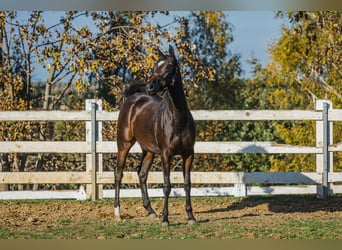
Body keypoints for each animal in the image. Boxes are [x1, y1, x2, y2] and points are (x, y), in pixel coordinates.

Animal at [114, 45, 196, 227]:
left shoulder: (188, 155)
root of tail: (133, 98)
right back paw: (117, 212)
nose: (150, 86)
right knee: (118, 173)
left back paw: (150, 211)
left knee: (142, 174)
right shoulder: (166, 154)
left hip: (149, 151)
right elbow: (166, 186)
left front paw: (191, 217)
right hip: (124, 144)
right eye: (154, 67)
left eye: (169, 66)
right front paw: (166, 219)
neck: (178, 119)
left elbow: (187, 184)